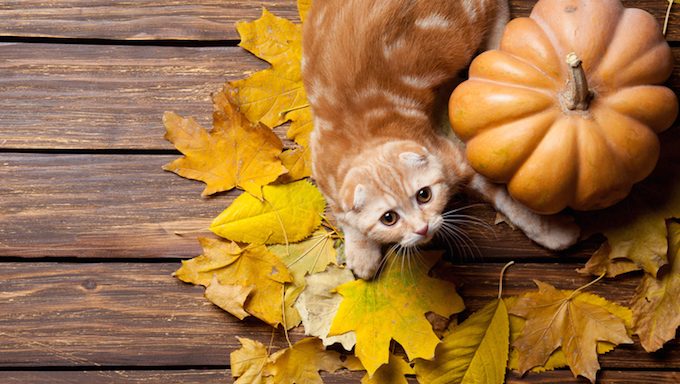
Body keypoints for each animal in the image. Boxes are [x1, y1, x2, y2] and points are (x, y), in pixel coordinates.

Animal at [302, 0, 580, 280]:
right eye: (388, 218)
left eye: (424, 195)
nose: (422, 228)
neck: (365, 138)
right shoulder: (320, 164)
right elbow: (345, 217)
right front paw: (361, 253)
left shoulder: (457, 156)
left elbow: (506, 198)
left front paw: (551, 232)